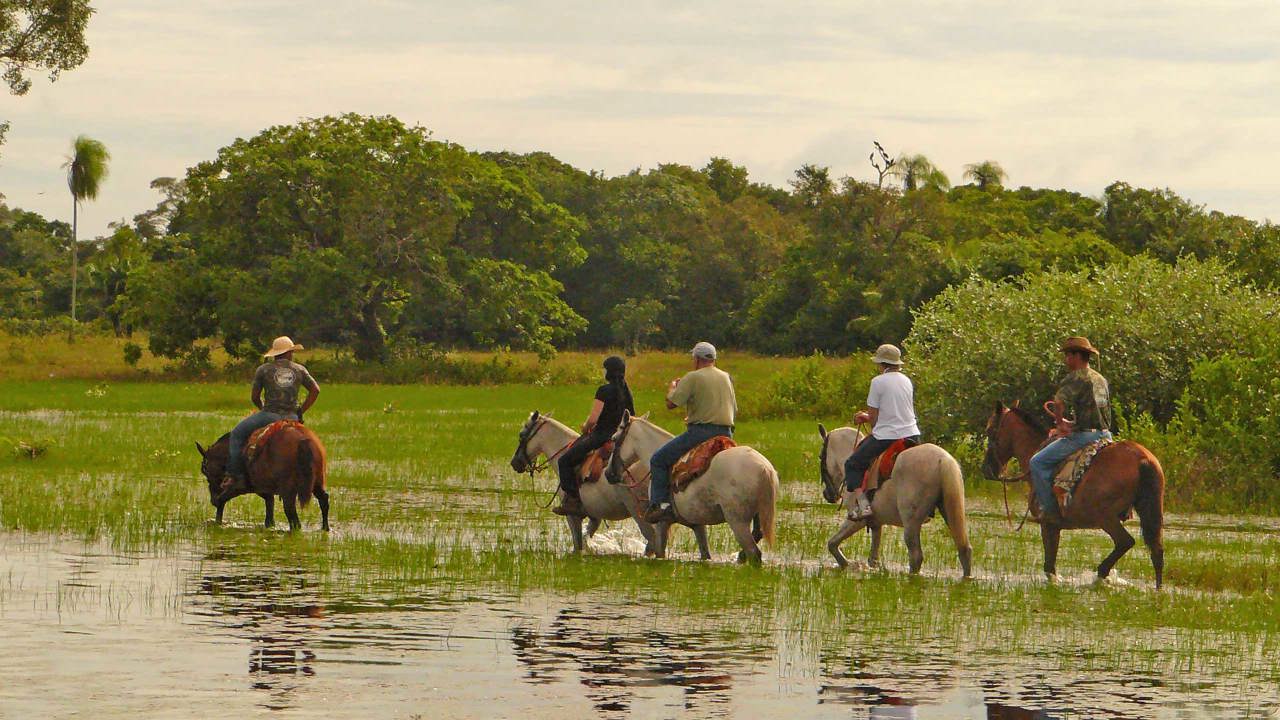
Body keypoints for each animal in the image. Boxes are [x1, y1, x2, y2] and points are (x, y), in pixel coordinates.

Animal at [195, 422, 330, 530]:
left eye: (205, 470)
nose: (212, 500)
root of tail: (304, 441)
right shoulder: (265, 490)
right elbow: (269, 513)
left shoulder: (241, 486)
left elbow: (222, 499)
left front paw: (218, 521)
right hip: (317, 483)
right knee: (324, 500)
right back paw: (325, 528)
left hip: (288, 492)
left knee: (294, 519)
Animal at [504, 409, 660, 556]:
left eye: (521, 435)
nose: (514, 463)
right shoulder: (595, 515)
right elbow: (586, 536)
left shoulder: (572, 516)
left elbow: (577, 544)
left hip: (637, 509)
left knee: (651, 540)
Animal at [601, 409, 773, 561]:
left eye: (614, 438)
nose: (608, 473)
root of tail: (764, 468)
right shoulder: (698, 524)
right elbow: (705, 554)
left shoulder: (662, 522)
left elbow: (660, 553)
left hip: (737, 521)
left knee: (754, 553)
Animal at [819, 422, 967, 573]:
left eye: (821, 456)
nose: (827, 494)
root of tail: (943, 460)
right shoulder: (876, 522)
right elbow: (873, 558)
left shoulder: (857, 520)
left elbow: (832, 543)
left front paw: (846, 564)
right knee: (964, 550)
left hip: (911, 522)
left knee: (916, 556)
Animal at [983, 399, 1167, 586]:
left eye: (989, 430)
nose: (986, 469)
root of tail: (1143, 459)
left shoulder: (1048, 524)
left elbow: (1049, 565)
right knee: (1157, 551)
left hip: (1105, 517)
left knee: (1125, 542)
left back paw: (1102, 573)